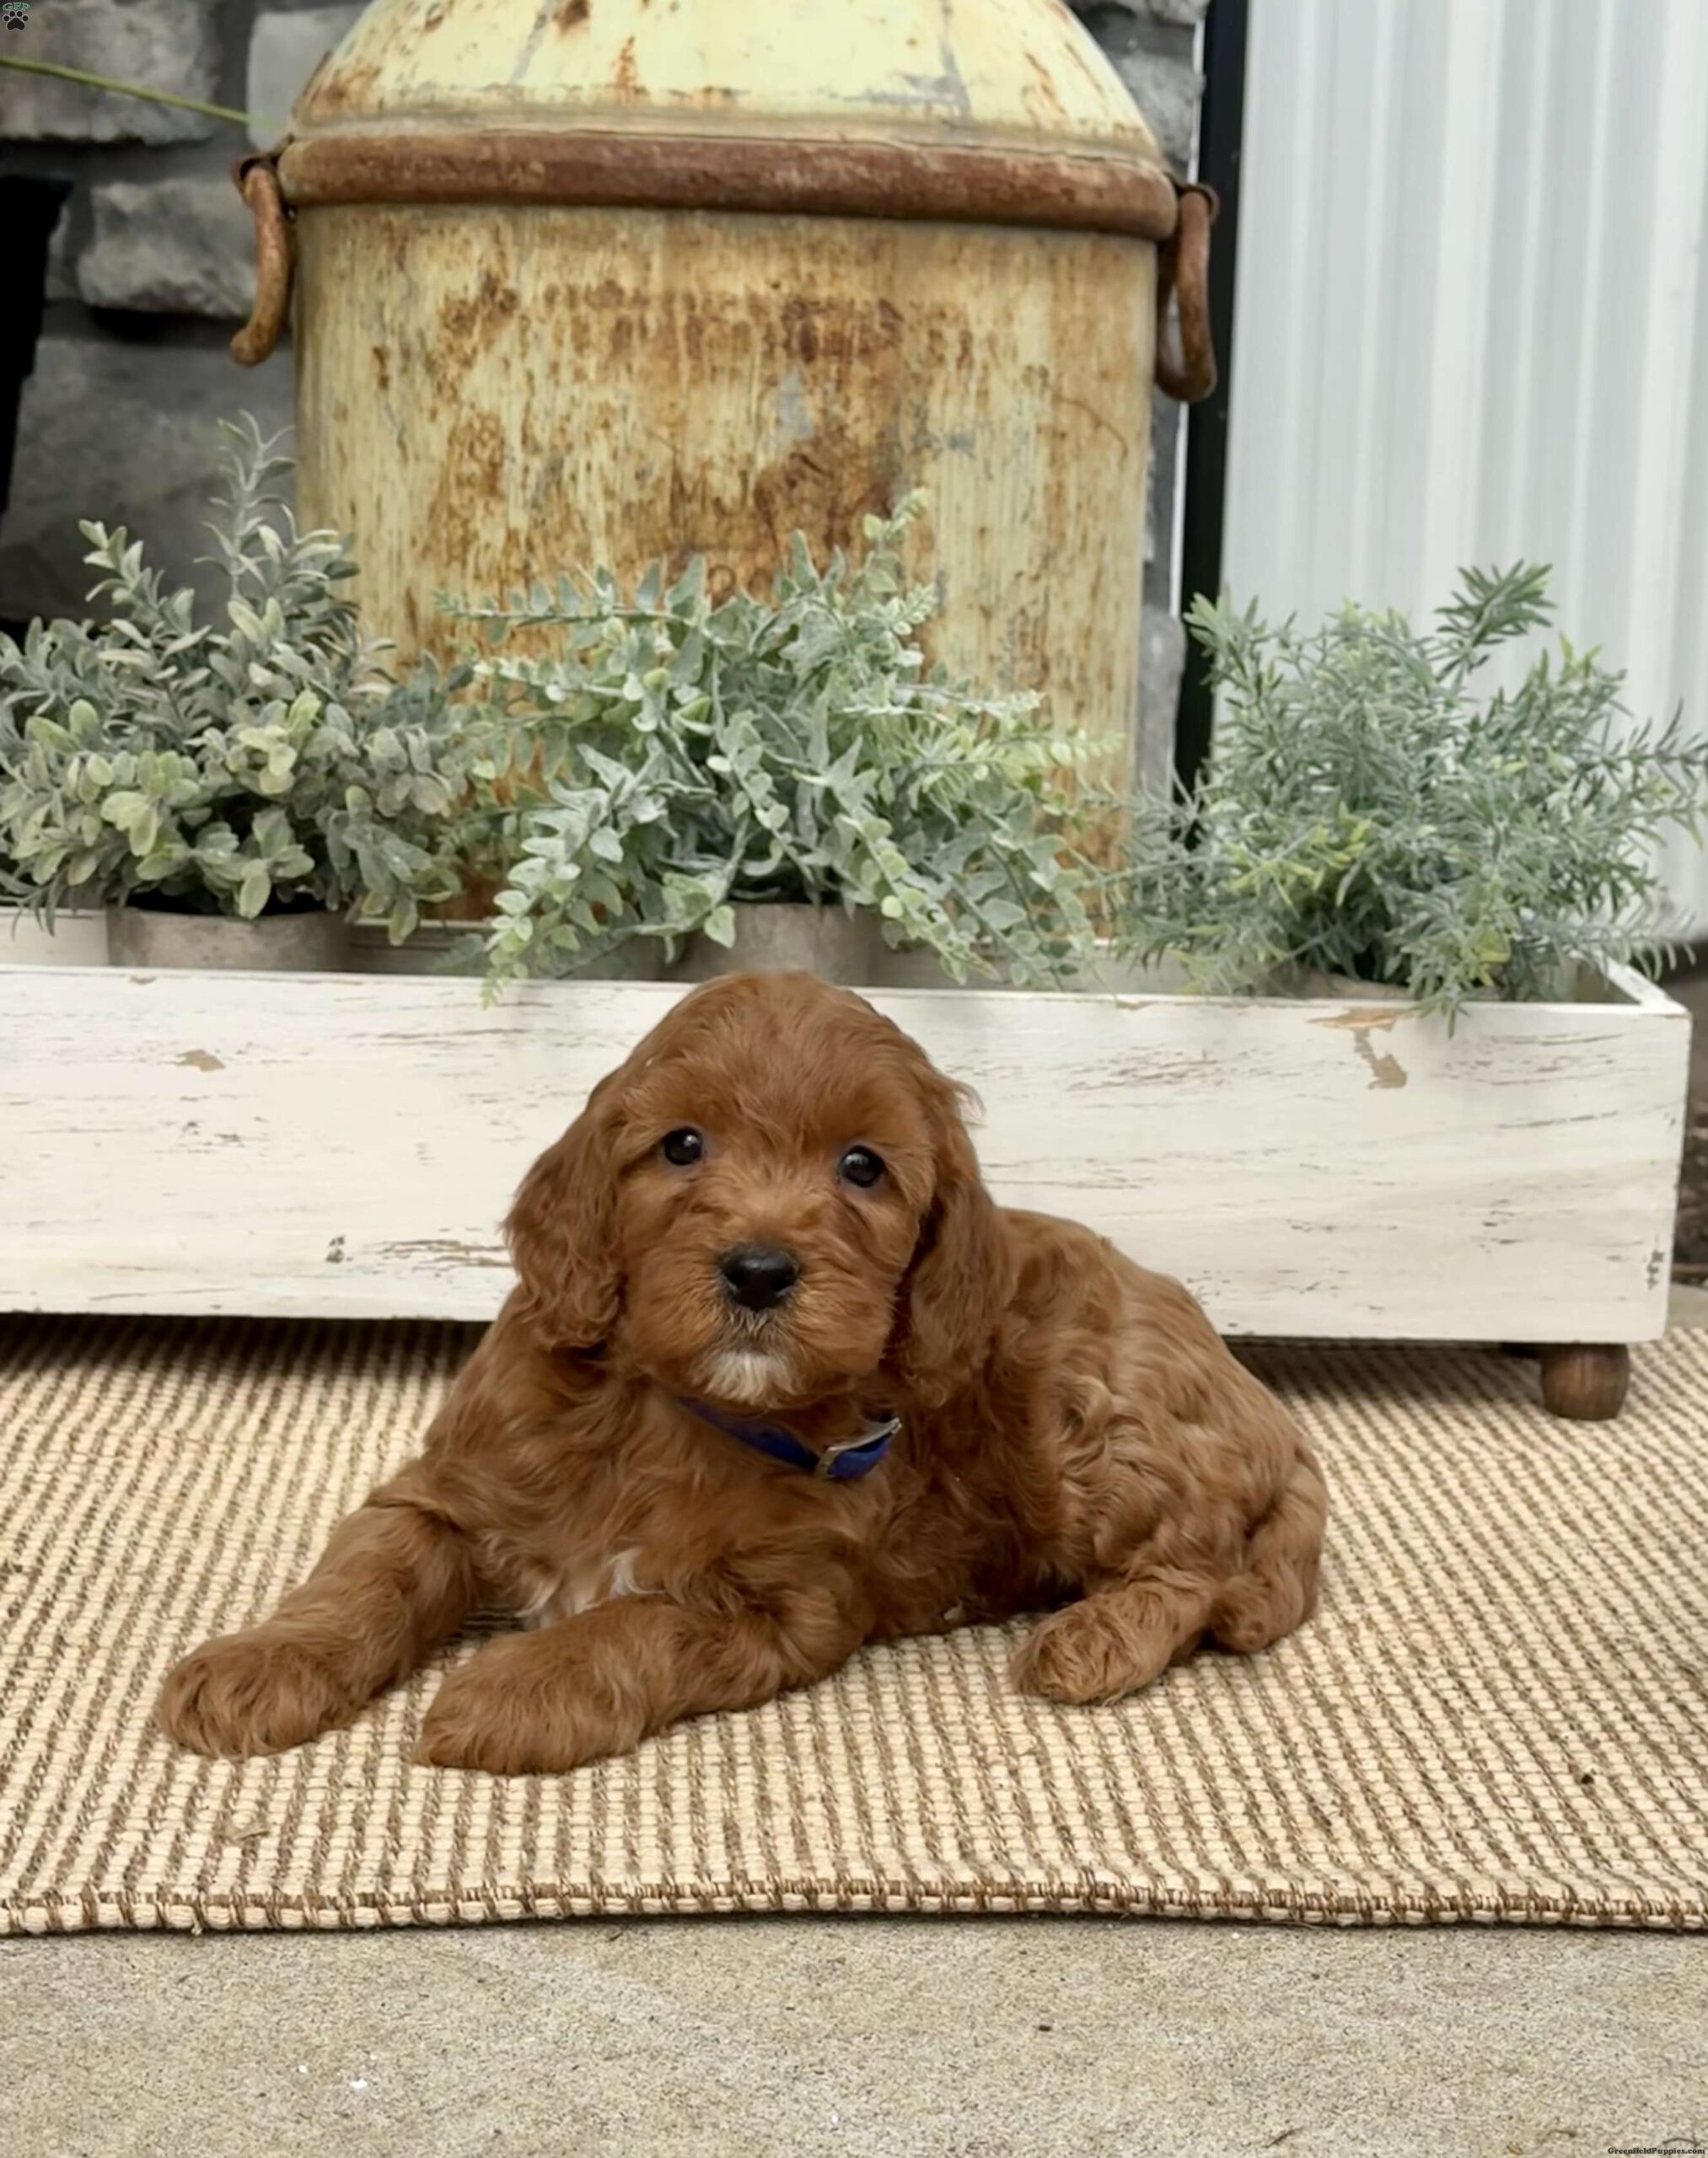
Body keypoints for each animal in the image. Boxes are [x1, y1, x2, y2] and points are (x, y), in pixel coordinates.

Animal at [155, 971, 1328, 1775]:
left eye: (862, 1167)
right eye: (681, 1146)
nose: (759, 1270)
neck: (680, 1411)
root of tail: (1257, 1397)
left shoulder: (787, 1609)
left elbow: (636, 1622)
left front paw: (516, 1689)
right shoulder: (446, 1490)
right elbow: (364, 1573)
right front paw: (258, 1662)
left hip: (1090, 1417)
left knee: (1197, 1566)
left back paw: (1096, 1637)